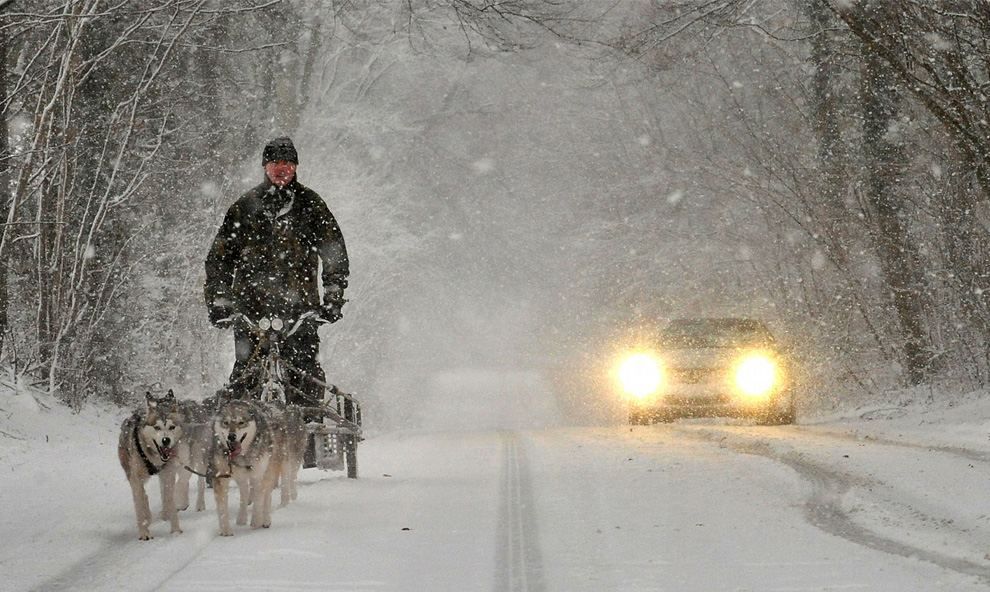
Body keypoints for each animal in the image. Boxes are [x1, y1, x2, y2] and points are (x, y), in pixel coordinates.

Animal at [117, 390, 186, 540]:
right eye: (157, 427)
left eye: (172, 427)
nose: (166, 440)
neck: (154, 457)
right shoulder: (136, 478)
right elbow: (140, 506)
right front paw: (144, 533)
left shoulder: (168, 475)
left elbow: (169, 500)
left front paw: (176, 530)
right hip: (131, 473)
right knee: (142, 497)